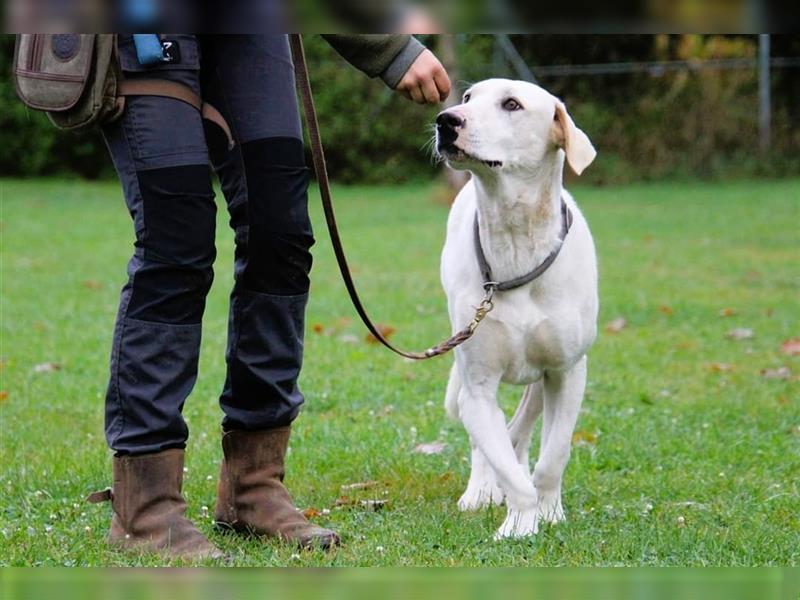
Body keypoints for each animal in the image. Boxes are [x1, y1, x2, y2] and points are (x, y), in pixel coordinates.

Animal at [434, 78, 596, 540]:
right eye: (467, 99)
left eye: (511, 104)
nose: (446, 120)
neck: (516, 240)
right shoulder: (477, 386)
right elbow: (495, 452)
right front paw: (520, 521)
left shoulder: (567, 373)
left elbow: (553, 456)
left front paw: (549, 510)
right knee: (491, 441)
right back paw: (480, 492)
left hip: (541, 379)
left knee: (520, 428)